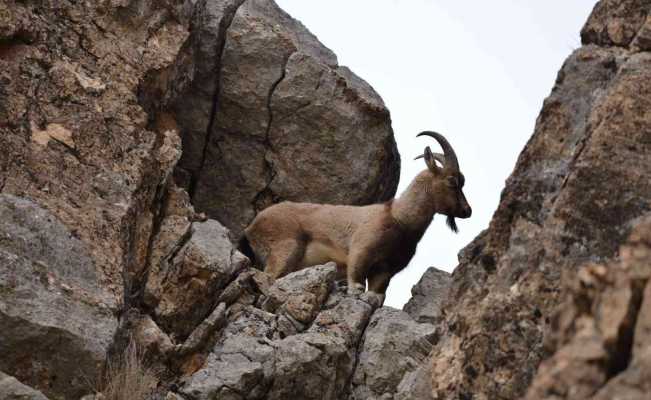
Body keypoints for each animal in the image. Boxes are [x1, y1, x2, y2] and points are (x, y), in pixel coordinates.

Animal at [242, 133, 472, 298]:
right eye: (452, 181)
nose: (467, 211)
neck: (399, 219)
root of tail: (251, 227)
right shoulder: (361, 252)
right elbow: (356, 281)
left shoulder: (384, 271)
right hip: (285, 248)